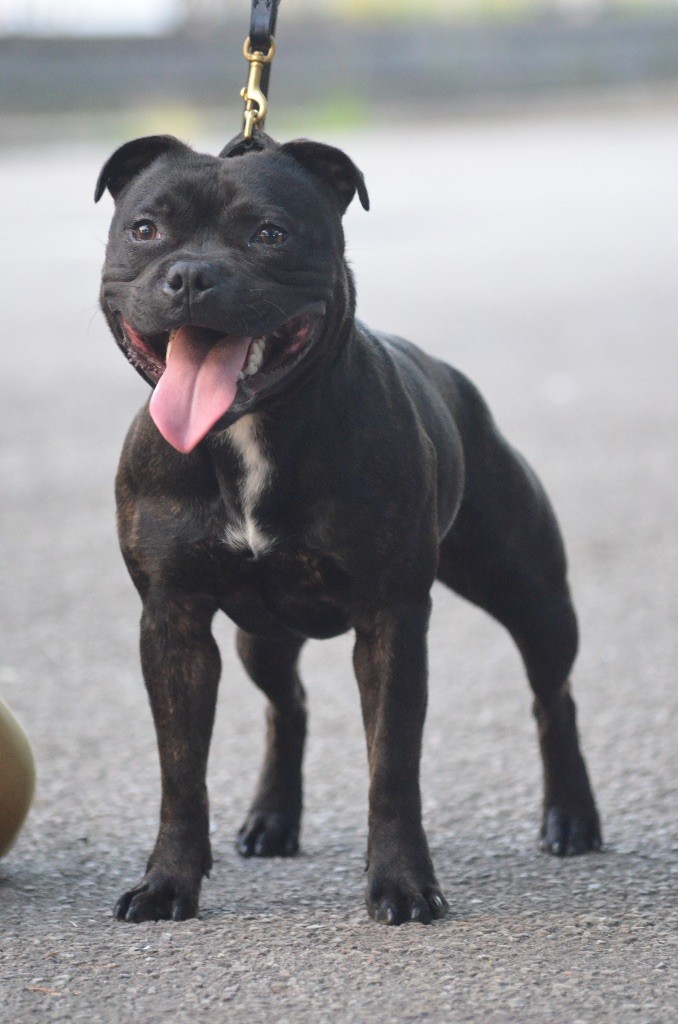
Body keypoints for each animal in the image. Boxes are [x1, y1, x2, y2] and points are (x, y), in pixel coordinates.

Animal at [95, 129, 601, 925]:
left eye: (270, 234)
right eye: (145, 230)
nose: (190, 275)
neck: (249, 433)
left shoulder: (391, 620)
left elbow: (391, 766)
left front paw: (403, 885)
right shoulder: (172, 622)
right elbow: (181, 773)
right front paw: (168, 883)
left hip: (532, 594)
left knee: (555, 695)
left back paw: (572, 817)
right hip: (261, 637)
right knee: (288, 706)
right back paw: (273, 819)